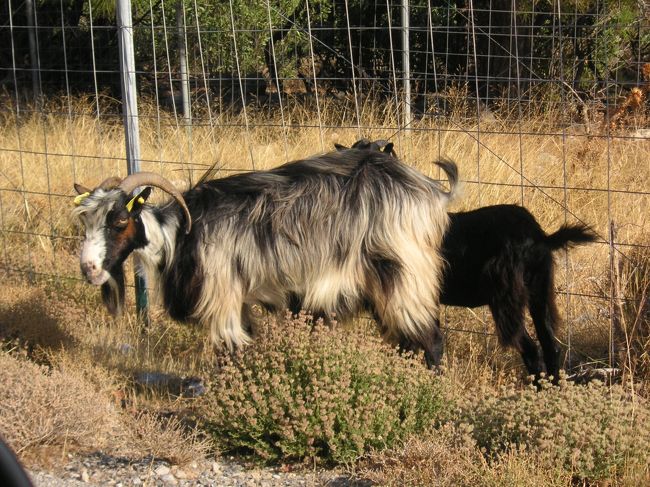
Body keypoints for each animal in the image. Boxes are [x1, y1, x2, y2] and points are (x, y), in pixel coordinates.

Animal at [72, 149, 456, 366]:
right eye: (85, 221)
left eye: (120, 220)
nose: (89, 268)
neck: (182, 232)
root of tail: (433, 192)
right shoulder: (238, 301)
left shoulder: (222, 297)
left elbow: (231, 353)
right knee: (408, 342)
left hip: (406, 274)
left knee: (430, 341)